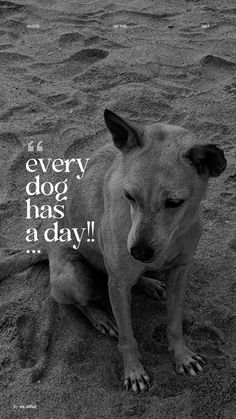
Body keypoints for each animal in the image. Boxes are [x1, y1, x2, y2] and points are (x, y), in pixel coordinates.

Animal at [1, 109, 227, 394]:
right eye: (129, 196)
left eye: (174, 202)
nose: (139, 252)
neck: (174, 235)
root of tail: (48, 241)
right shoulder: (118, 287)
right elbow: (128, 337)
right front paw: (134, 371)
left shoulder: (179, 272)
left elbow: (174, 323)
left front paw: (182, 356)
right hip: (72, 277)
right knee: (79, 303)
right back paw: (101, 318)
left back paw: (148, 282)